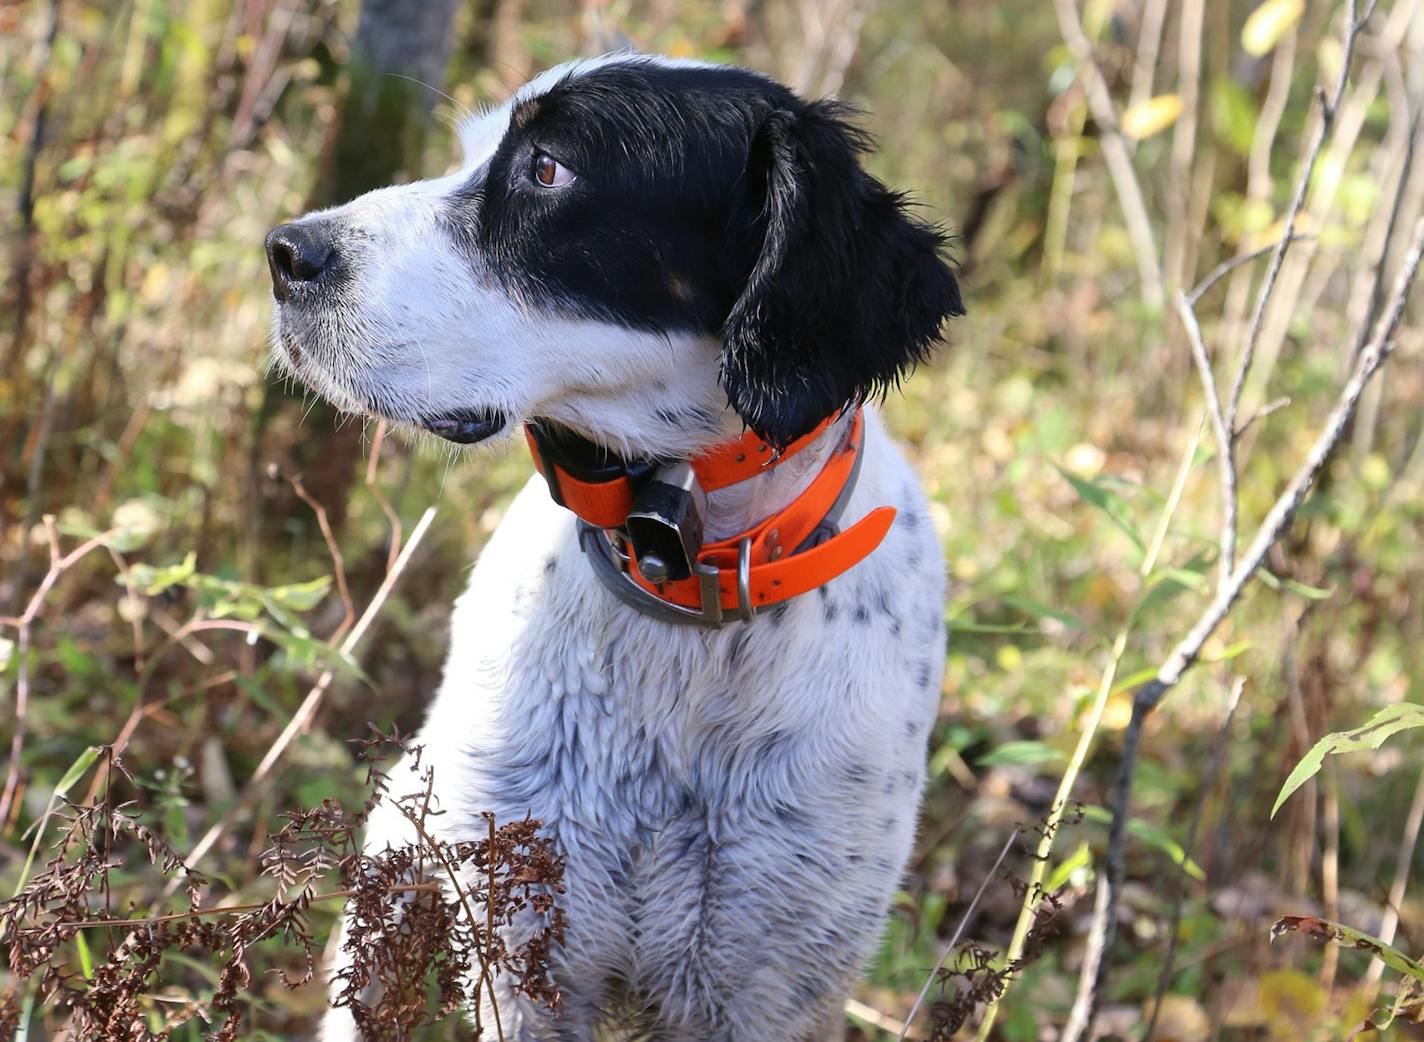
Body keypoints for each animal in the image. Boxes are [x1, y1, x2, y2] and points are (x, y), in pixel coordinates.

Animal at [266, 54, 962, 1042]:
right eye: (473, 149)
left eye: (547, 168)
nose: (285, 253)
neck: (677, 579)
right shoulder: (527, 954)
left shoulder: (770, 977)